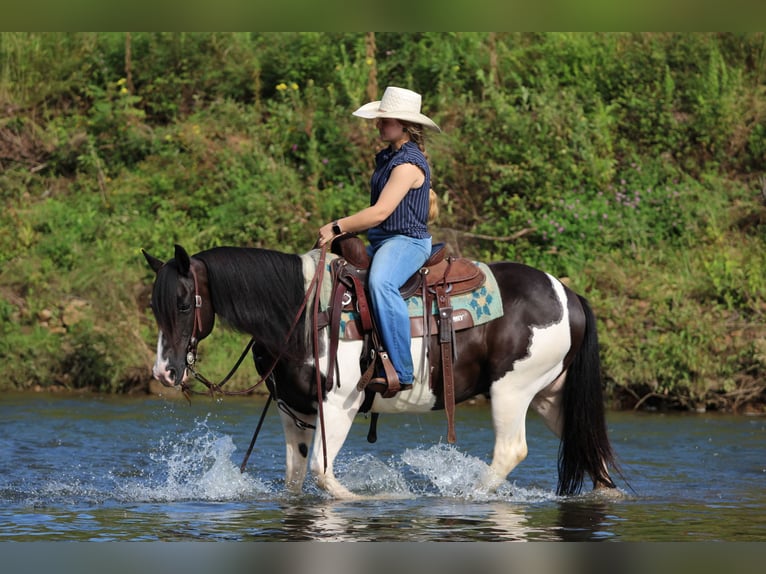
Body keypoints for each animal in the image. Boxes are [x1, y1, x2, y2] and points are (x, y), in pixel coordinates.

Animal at [142, 243, 622, 499]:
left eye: (183, 303)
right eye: (154, 305)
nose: (165, 372)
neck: (299, 314)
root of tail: (568, 294)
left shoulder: (338, 405)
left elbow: (324, 476)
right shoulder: (293, 411)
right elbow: (296, 480)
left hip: (512, 391)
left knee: (510, 451)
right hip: (550, 395)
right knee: (589, 448)